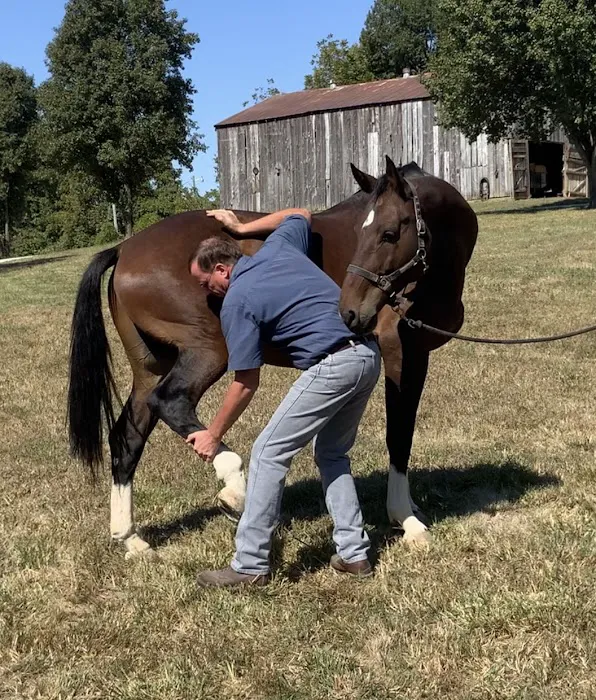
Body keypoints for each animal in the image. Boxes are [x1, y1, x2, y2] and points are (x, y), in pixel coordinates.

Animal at [67, 156, 478, 559]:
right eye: (368, 232)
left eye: (389, 233)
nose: (349, 311)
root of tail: (124, 249)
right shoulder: (402, 354)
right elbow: (399, 435)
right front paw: (407, 520)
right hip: (208, 351)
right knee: (170, 401)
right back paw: (235, 487)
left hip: (152, 366)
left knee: (127, 438)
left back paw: (131, 538)